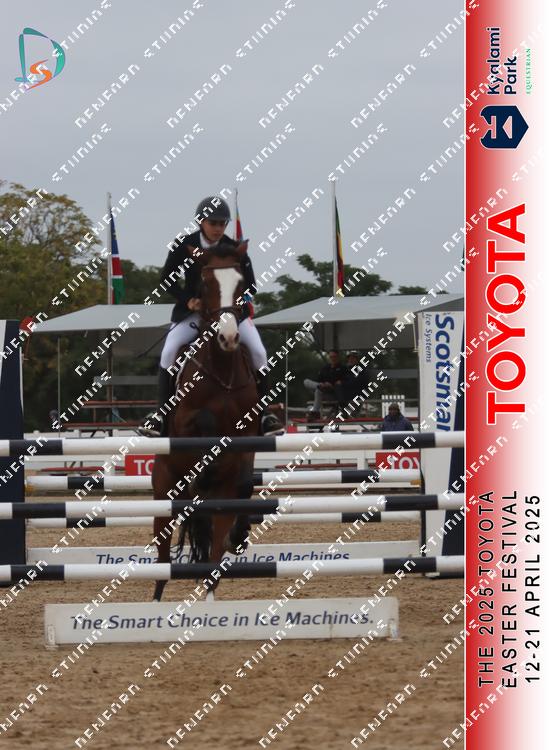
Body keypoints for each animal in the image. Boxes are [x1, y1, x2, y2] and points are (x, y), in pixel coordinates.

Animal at [151, 242, 259, 601]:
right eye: (205, 284)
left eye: (240, 283)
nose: (228, 337)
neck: (222, 371)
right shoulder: (185, 424)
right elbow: (206, 422)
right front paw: (205, 470)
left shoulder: (249, 434)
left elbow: (244, 475)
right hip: (163, 495)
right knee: (161, 560)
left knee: (213, 556)